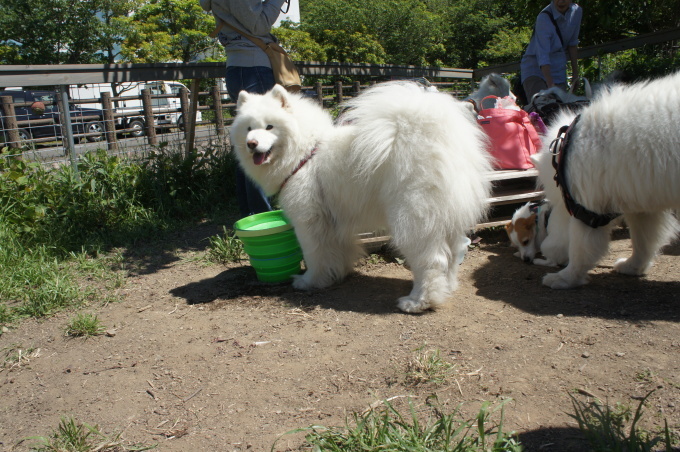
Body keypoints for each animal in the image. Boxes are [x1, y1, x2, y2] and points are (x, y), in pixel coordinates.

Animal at [231, 82, 492, 314]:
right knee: (453, 255)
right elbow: (336, 252)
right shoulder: (334, 221)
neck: (305, 153)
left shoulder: (307, 221)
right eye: (248, 128)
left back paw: (417, 302)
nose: (251, 143)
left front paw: (309, 281)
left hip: (412, 220)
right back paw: (446, 289)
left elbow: (314, 255)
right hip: (446, 221)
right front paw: (336, 275)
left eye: (269, 127)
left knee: (432, 261)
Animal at [532, 70, 676, 290]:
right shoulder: (642, 203)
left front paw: (565, 278)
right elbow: (642, 241)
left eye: (559, 200)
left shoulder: (588, 210)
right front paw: (633, 266)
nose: (548, 248)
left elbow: (579, 250)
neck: (565, 149)